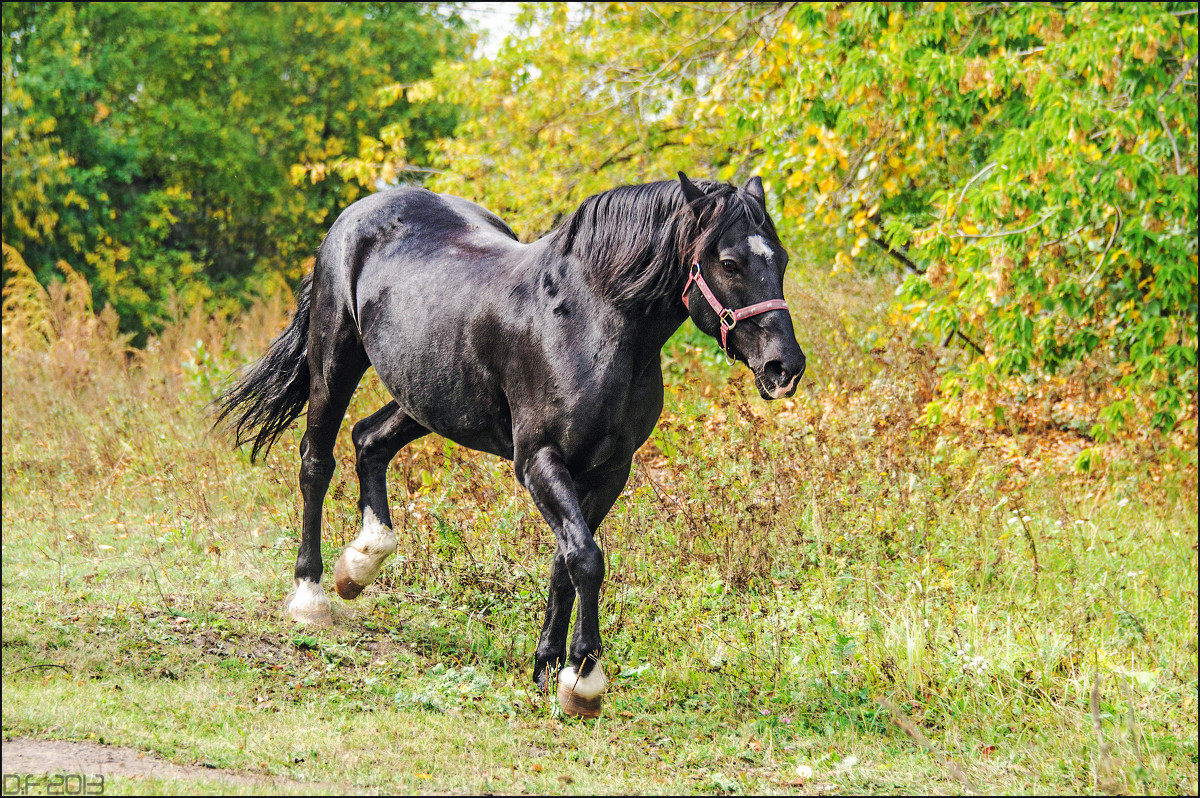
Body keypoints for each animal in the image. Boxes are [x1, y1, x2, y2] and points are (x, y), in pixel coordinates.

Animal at [220, 169, 811, 715]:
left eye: (779, 259)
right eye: (729, 263)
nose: (784, 367)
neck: (591, 322)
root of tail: (360, 212)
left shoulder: (610, 469)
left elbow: (567, 562)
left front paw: (549, 669)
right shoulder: (539, 459)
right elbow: (586, 558)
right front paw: (585, 681)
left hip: (430, 395)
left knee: (369, 441)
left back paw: (361, 562)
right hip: (336, 359)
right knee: (316, 463)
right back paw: (311, 594)